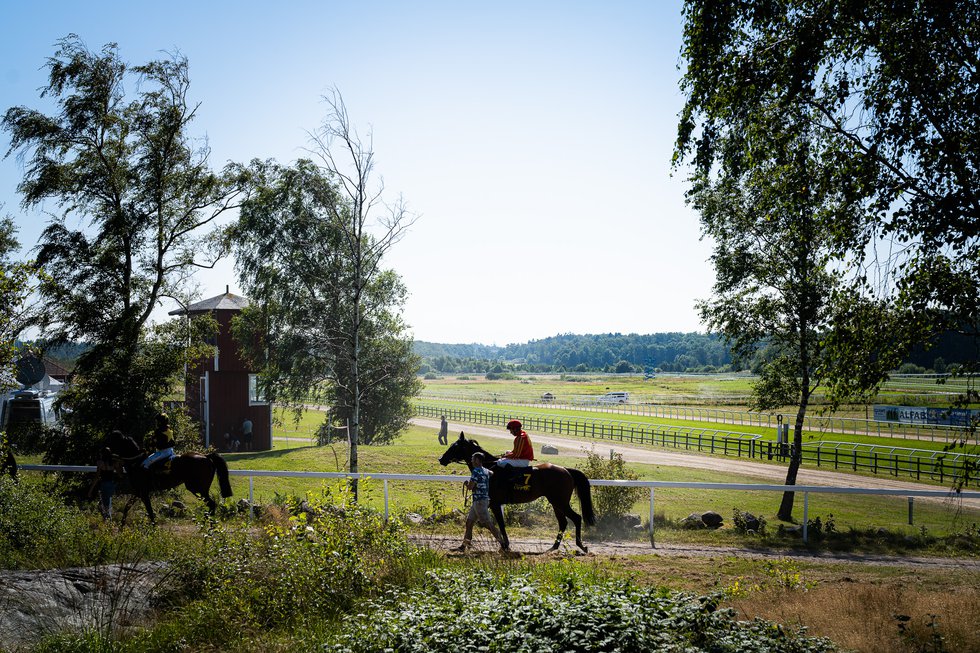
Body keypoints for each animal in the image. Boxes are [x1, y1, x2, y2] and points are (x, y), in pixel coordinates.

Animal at [438, 432, 592, 552]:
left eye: (454, 447)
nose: (441, 459)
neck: (490, 469)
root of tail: (566, 470)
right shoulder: (488, 504)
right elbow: (477, 522)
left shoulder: (495, 504)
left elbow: (500, 524)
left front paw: (505, 545)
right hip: (556, 503)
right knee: (563, 523)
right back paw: (554, 546)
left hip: (560, 502)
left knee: (576, 518)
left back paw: (581, 545)